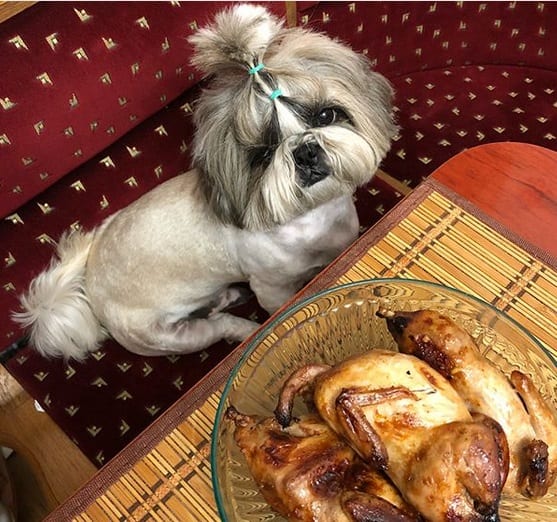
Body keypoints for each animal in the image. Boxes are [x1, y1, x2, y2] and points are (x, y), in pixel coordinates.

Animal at [13, 5, 396, 358]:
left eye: (326, 114)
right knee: (219, 326)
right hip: (170, 336)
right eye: (263, 154)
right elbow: (281, 305)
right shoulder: (273, 288)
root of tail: (92, 289)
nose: (304, 151)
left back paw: (225, 295)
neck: (312, 217)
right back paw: (241, 325)